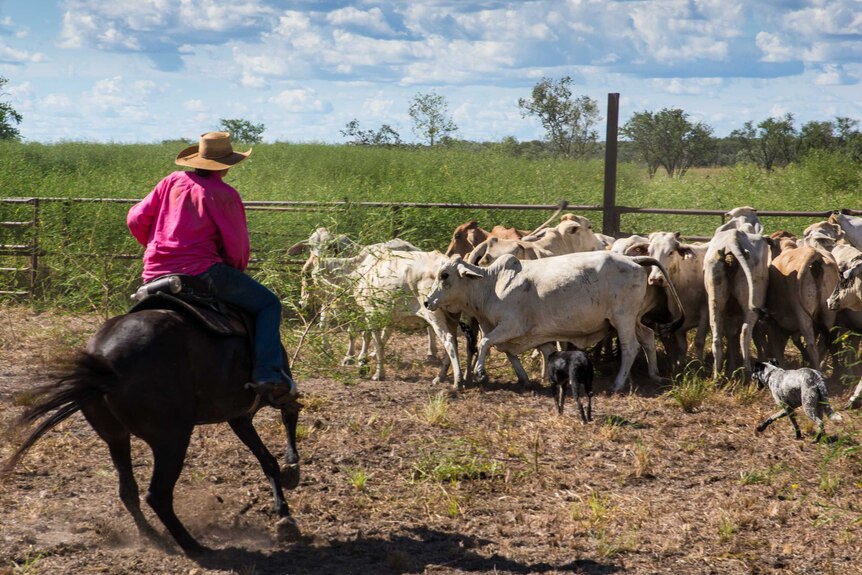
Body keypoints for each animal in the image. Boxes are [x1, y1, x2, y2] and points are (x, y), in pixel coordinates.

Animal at [0, 308, 304, 556]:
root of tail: (105, 364)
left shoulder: (238, 416)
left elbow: (268, 459)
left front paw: (284, 508)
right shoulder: (260, 399)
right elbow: (289, 414)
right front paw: (291, 473)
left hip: (115, 437)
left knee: (128, 490)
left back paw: (153, 536)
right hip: (172, 439)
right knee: (157, 494)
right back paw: (195, 546)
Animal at [422, 252, 684, 392]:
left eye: (445, 275)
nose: (427, 301)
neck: (492, 284)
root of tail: (633, 258)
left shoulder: (511, 326)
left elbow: (486, 343)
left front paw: (480, 373)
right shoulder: (536, 333)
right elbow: (530, 353)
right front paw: (530, 379)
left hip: (623, 319)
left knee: (630, 348)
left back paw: (618, 383)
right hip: (631, 319)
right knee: (647, 336)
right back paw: (654, 375)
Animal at [704, 227, 772, 380]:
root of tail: (732, 240)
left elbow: (730, 335)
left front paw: (731, 367)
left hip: (715, 300)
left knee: (717, 336)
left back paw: (717, 376)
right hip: (751, 304)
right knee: (745, 333)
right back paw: (747, 372)